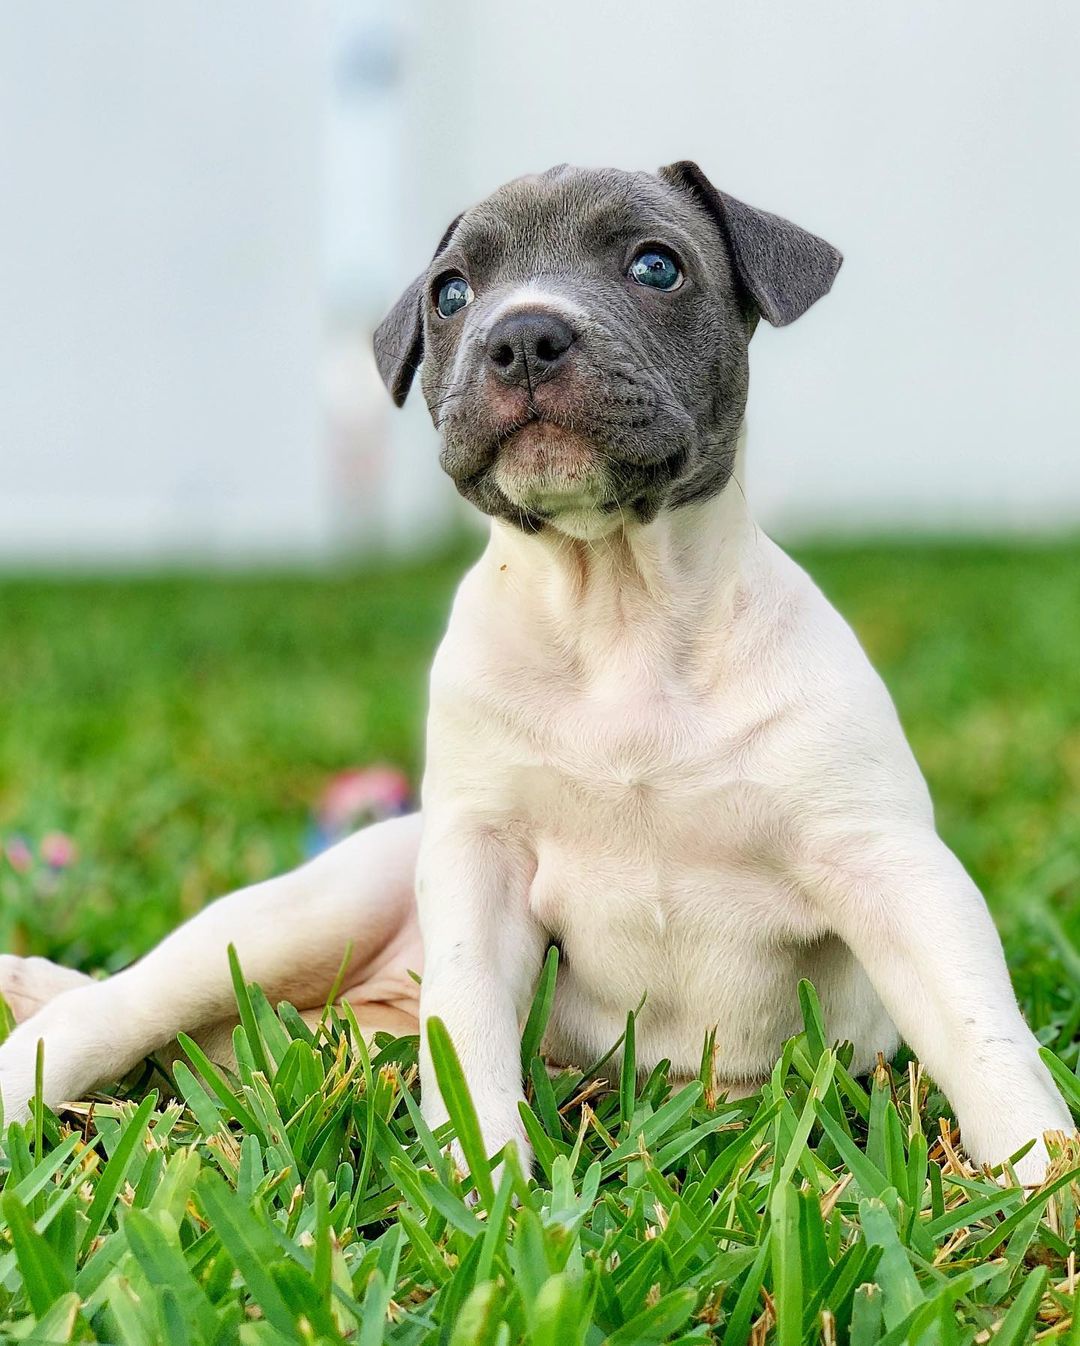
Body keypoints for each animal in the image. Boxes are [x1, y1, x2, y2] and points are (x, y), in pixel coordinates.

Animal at [0, 162, 1066, 1184]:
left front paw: (1040, 1181)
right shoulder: (479, 865)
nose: (521, 337)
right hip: (308, 907)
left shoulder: (889, 866)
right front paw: (489, 1191)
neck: (620, 611)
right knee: (124, 1006)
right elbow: (470, 1033)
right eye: (452, 292)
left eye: (655, 267)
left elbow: (982, 1035)